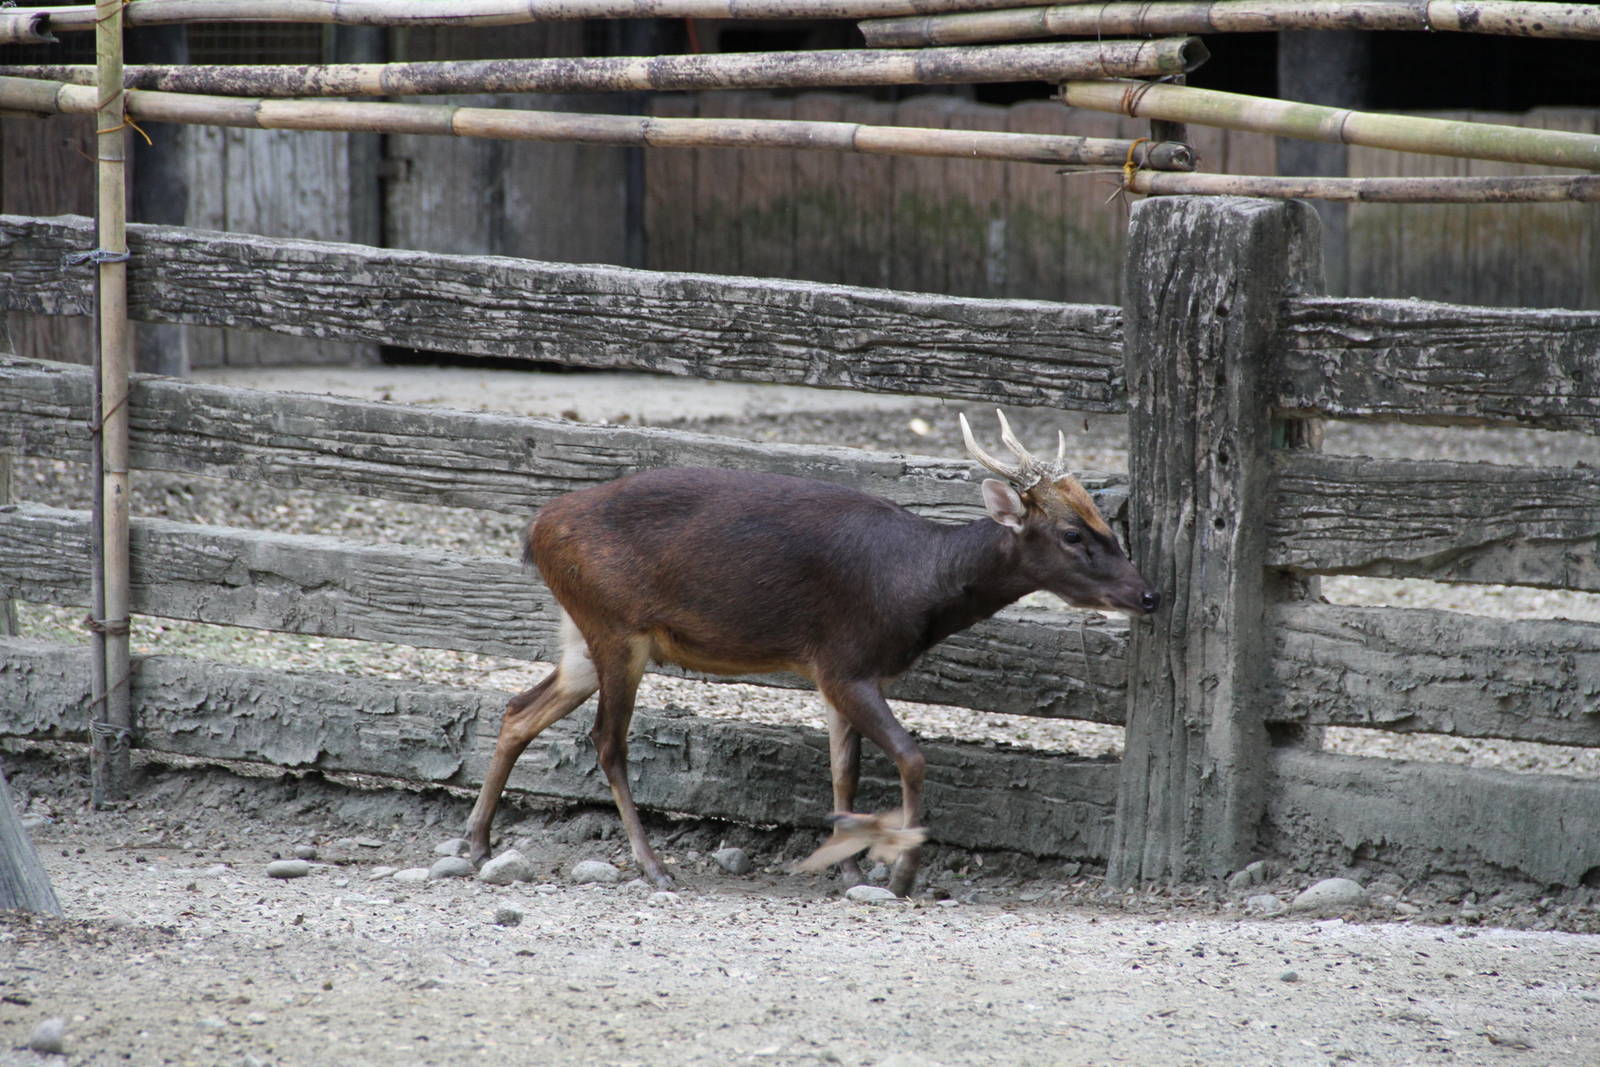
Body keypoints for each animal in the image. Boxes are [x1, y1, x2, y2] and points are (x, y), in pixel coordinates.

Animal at [464, 411, 1158, 896]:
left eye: (1107, 523)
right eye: (1071, 533)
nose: (1148, 593)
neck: (915, 585)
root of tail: (534, 532)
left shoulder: (840, 675)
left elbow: (843, 770)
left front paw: (846, 866)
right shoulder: (845, 660)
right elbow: (911, 757)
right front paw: (900, 871)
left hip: (584, 635)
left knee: (517, 710)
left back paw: (477, 843)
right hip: (617, 629)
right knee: (607, 741)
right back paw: (653, 865)